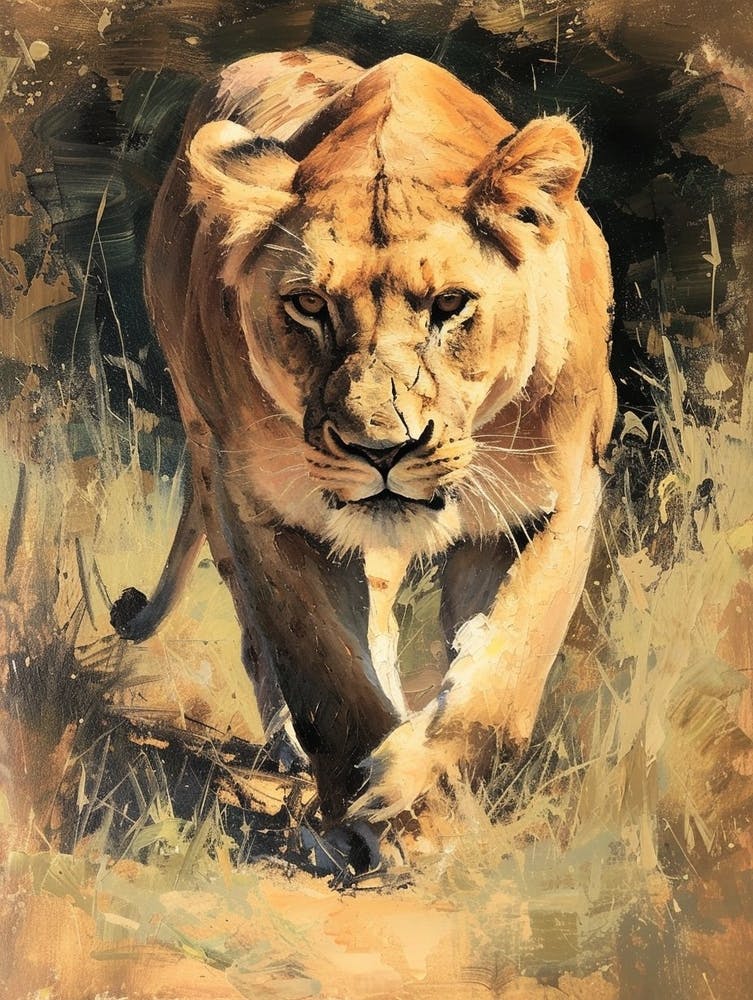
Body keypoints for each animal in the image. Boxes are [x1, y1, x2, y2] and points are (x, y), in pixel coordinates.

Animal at [112, 50, 616, 831]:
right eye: (307, 305)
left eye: (450, 305)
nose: (380, 450)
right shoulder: (263, 508)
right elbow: (327, 684)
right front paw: (376, 809)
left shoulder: (559, 499)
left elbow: (500, 679)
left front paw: (414, 785)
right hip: (211, 456)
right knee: (266, 639)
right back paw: (293, 749)